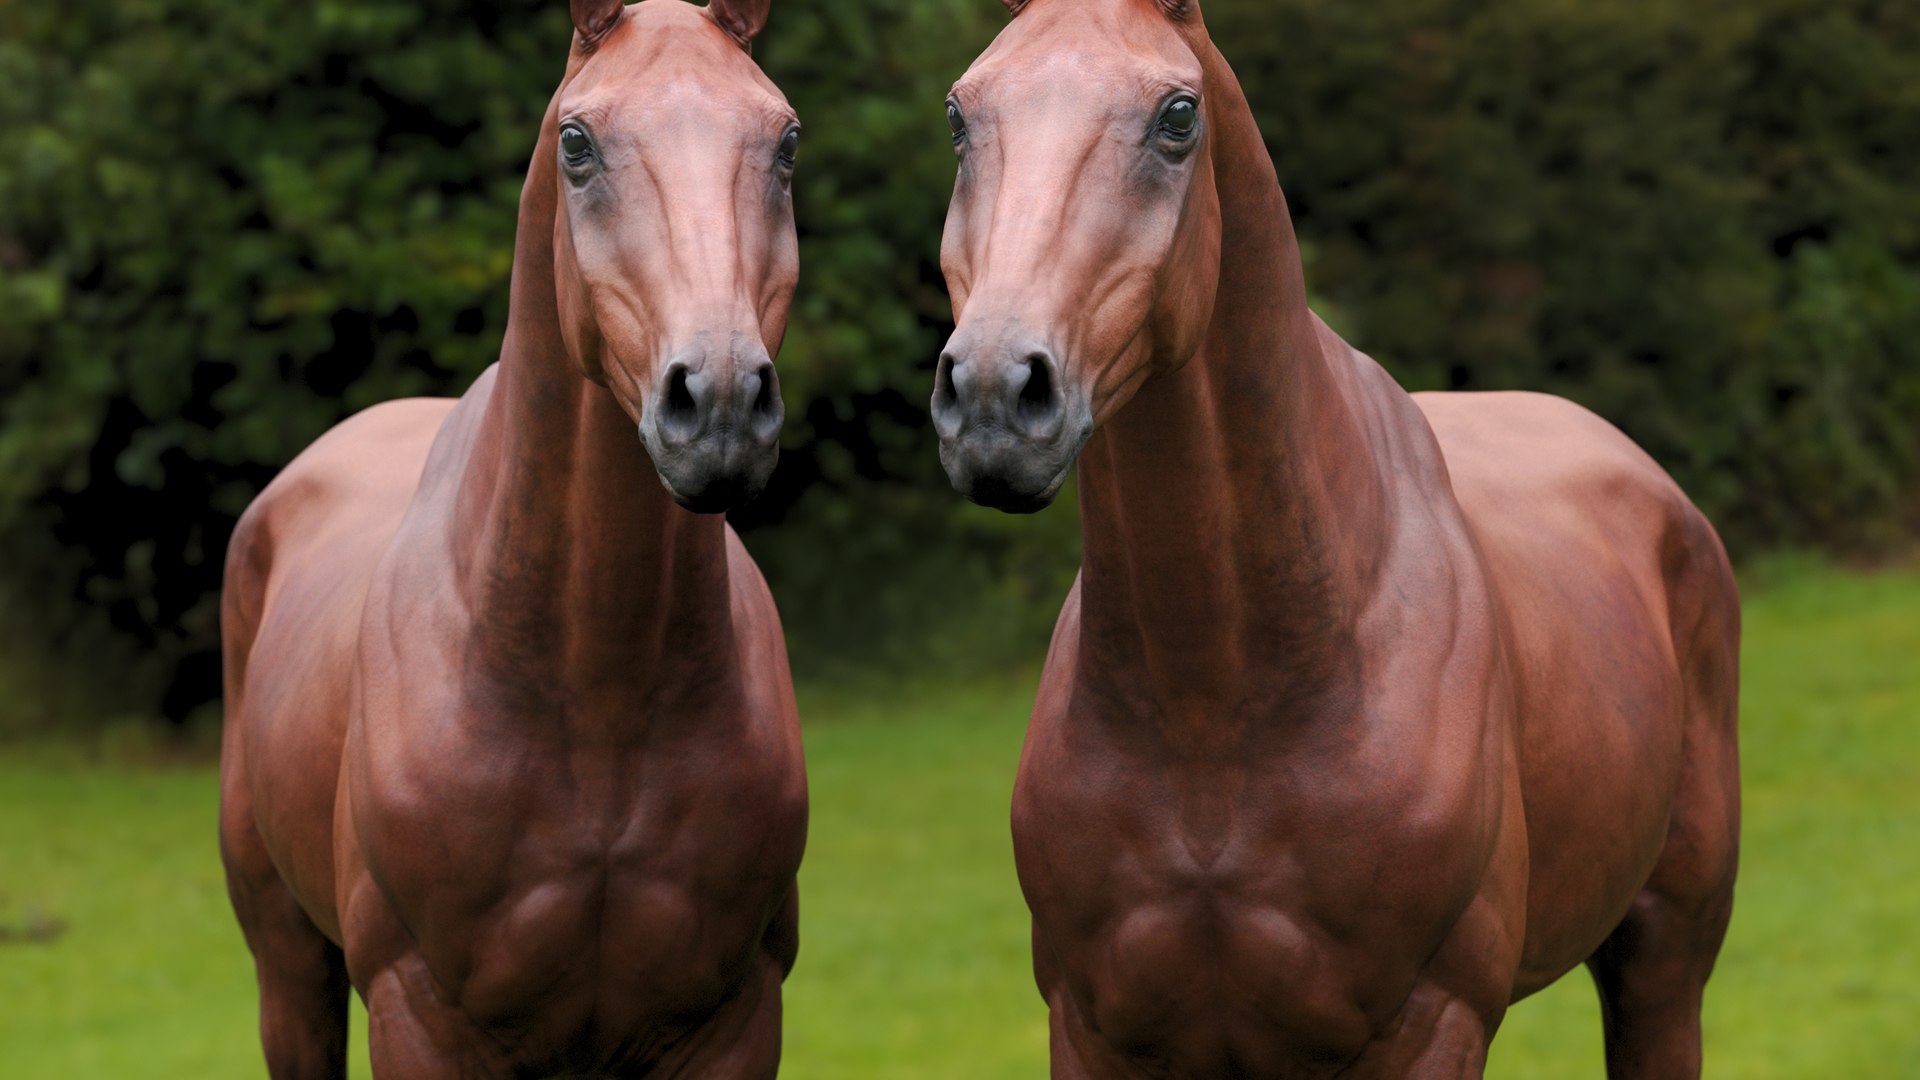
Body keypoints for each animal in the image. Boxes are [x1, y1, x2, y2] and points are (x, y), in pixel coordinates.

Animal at [217, 1, 807, 1075]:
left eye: (785, 141)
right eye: (577, 143)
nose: (721, 405)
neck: (594, 691)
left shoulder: (737, 1018)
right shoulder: (418, 1017)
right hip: (286, 961)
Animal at [931, 0, 1741, 1075]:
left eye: (1177, 117)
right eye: (959, 115)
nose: (992, 396)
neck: (1216, 703)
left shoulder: (1435, 1024)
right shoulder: (1096, 1029)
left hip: (1666, 950)